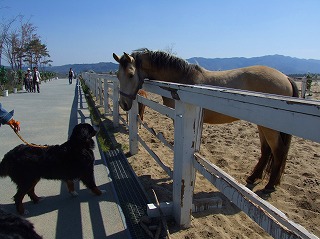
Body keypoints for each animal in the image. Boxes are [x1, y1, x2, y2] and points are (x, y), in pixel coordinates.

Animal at [112, 48, 300, 192]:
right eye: (118, 75)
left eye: (130, 74)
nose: (124, 103)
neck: (182, 81)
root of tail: (286, 78)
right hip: (263, 125)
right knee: (266, 150)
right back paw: (254, 177)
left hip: (270, 128)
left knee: (278, 151)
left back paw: (269, 186)